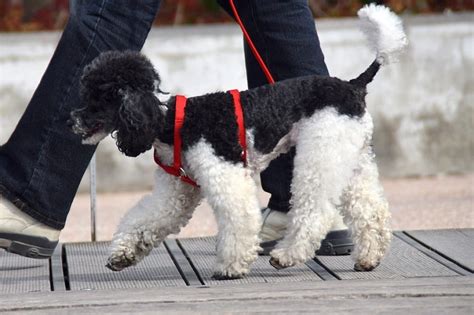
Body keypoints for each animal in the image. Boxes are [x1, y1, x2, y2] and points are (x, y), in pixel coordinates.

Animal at [70, 4, 408, 280]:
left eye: (97, 98)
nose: (72, 121)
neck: (171, 123)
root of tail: (354, 86)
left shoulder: (225, 175)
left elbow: (239, 219)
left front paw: (230, 267)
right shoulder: (175, 191)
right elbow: (147, 217)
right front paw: (123, 254)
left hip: (320, 154)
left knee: (316, 212)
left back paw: (286, 256)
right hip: (350, 157)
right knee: (371, 210)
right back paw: (369, 257)